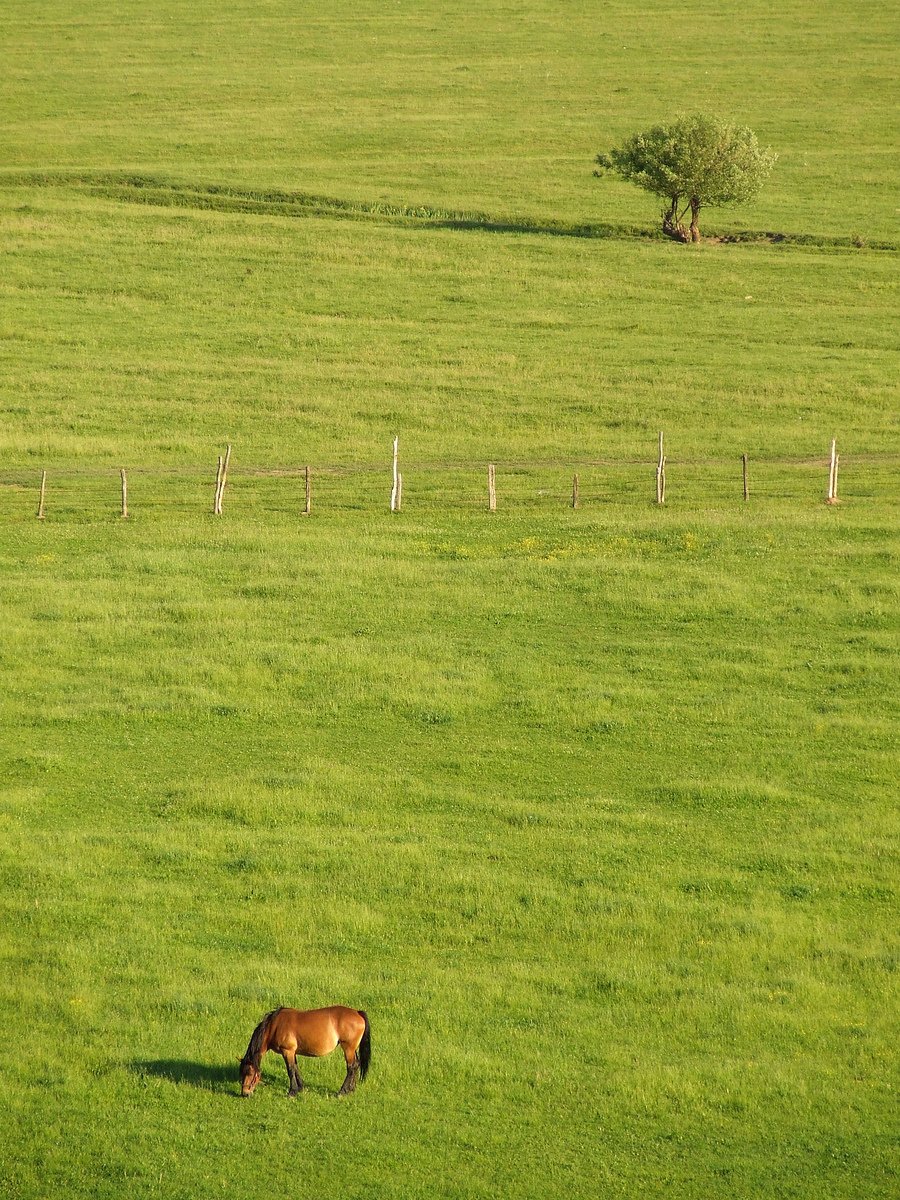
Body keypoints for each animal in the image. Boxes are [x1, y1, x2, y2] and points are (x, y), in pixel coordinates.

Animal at [237, 1003, 372, 1099]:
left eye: (249, 1073)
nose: (245, 1093)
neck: (274, 1026)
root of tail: (358, 1013)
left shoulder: (287, 1051)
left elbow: (290, 1070)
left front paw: (292, 1092)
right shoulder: (293, 1052)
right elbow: (296, 1068)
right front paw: (301, 1088)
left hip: (348, 1048)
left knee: (351, 1067)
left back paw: (342, 1091)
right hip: (352, 1049)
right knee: (356, 1065)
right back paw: (351, 1089)